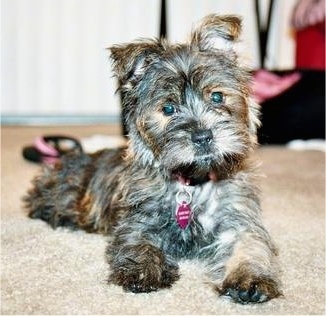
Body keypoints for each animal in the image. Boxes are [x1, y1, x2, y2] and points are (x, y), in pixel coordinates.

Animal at [24, 14, 280, 304]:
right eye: (168, 108)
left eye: (217, 96)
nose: (203, 136)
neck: (192, 183)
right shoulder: (138, 221)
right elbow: (139, 244)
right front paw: (144, 271)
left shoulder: (237, 220)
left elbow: (250, 245)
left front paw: (250, 278)